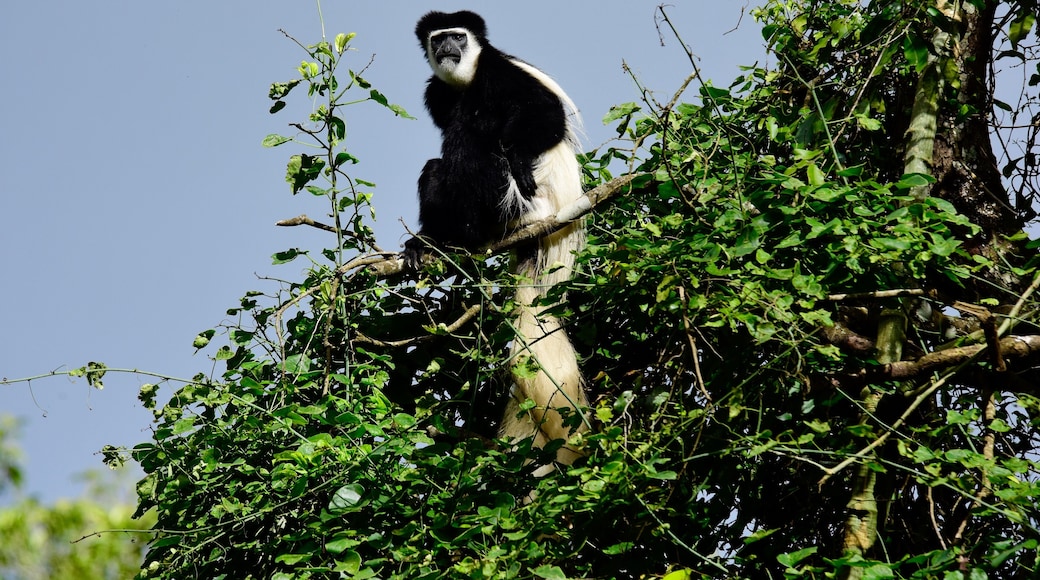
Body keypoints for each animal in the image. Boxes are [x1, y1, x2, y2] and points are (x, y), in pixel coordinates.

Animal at [405, 10, 588, 473]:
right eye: (438, 38)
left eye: (458, 36)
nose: (446, 48)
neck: (465, 79)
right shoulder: (436, 92)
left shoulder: (499, 73)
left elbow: (546, 115)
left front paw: (520, 156)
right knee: (437, 167)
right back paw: (430, 244)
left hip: (513, 202)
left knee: (468, 142)